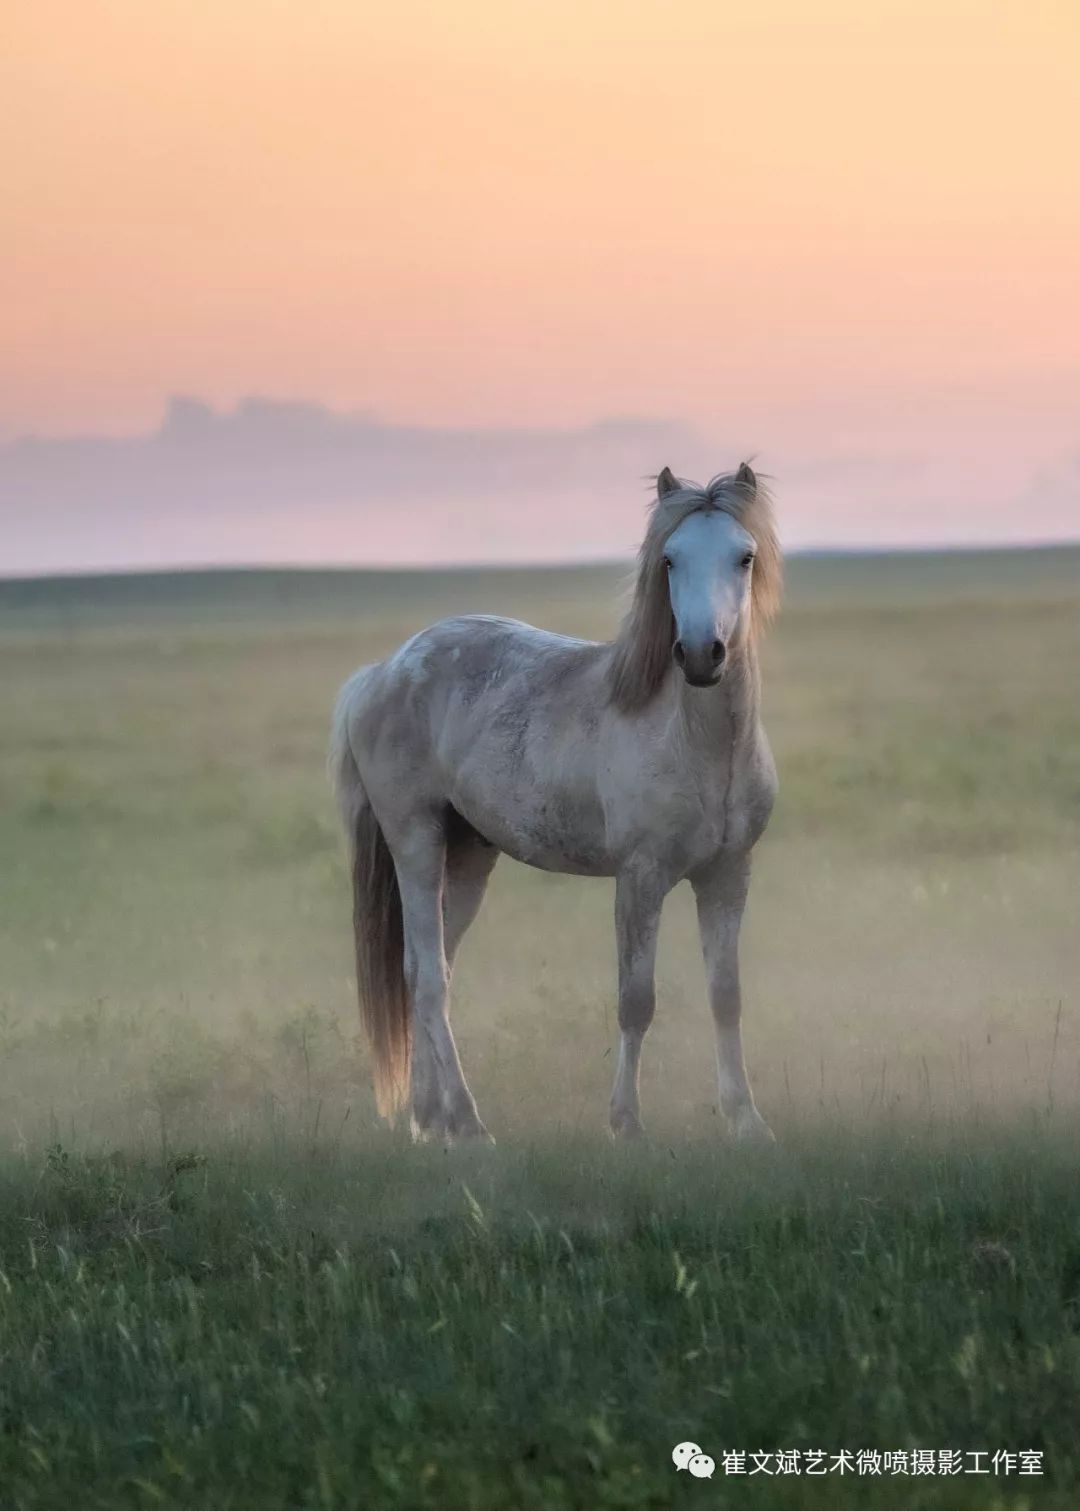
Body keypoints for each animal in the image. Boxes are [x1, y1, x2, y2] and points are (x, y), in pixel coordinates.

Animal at [330, 463, 782, 1143]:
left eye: (744, 557)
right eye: (670, 559)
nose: (703, 654)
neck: (698, 742)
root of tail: (382, 671)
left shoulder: (729, 874)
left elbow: (726, 995)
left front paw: (747, 1120)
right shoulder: (641, 877)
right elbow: (636, 1000)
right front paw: (627, 1123)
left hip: (468, 857)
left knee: (427, 969)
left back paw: (432, 1121)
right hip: (416, 841)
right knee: (428, 978)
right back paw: (469, 1125)